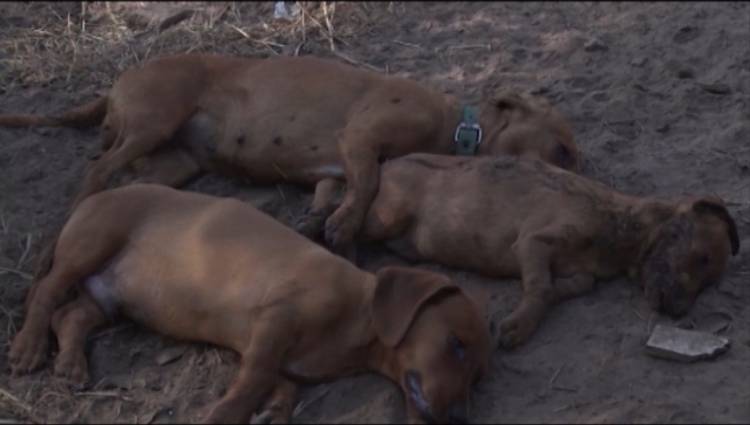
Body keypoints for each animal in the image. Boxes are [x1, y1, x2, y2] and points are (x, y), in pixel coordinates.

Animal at [0, 53, 580, 252]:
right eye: (564, 149)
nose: (583, 177)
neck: (457, 125)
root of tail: (119, 82)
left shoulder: (336, 166)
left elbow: (338, 188)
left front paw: (322, 219)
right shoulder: (361, 140)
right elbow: (368, 182)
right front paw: (343, 226)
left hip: (175, 164)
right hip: (152, 123)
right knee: (98, 170)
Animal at [10, 184, 494, 424]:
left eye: (477, 377)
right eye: (456, 345)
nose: (458, 418)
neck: (358, 322)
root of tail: (92, 198)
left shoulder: (278, 357)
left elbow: (280, 386)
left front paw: (274, 412)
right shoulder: (274, 322)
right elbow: (252, 381)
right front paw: (225, 416)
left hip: (110, 298)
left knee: (69, 315)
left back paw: (71, 363)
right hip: (92, 244)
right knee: (47, 294)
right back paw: (28, 347)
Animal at [304, 154, 740, 346]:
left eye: (709, 279)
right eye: (701, 257)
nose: (679, 313)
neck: (620, 224)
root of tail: (392, 162)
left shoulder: (577, 274)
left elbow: (562, 288)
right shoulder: (533, 243)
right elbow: (540, 288)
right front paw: (520, 325)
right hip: (387, 214)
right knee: (343, 199)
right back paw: (327, 228)